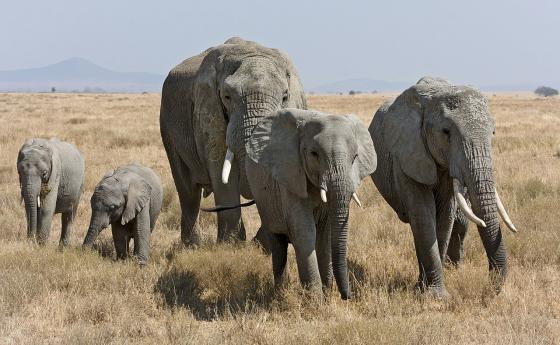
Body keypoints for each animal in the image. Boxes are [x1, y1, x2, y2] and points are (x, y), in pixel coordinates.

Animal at [158, 37, 306, 247]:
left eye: (285, 96)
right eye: (227, 96)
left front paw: (263, 245)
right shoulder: (209, 112)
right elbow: (220, 169)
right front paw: (231, 245)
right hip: (168, 125)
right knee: (188, 191)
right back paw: (192, 246)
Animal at [245, 108, 376, 298]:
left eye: (355, 157)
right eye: (314, 154)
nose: (348, 296)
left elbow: (324, 235)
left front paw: (327, 294)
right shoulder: (291, 176)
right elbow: (305, 231)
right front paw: (315, 300)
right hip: (264, 200)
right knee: (277, 243)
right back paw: (280, 293)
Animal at [370, 76, 520, 296]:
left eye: (493, 132)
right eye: (446, 132)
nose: (487, 291)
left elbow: (444, 217)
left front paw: (428, 291)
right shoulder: (406, 157)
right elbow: (424, 215)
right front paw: (435, 296)